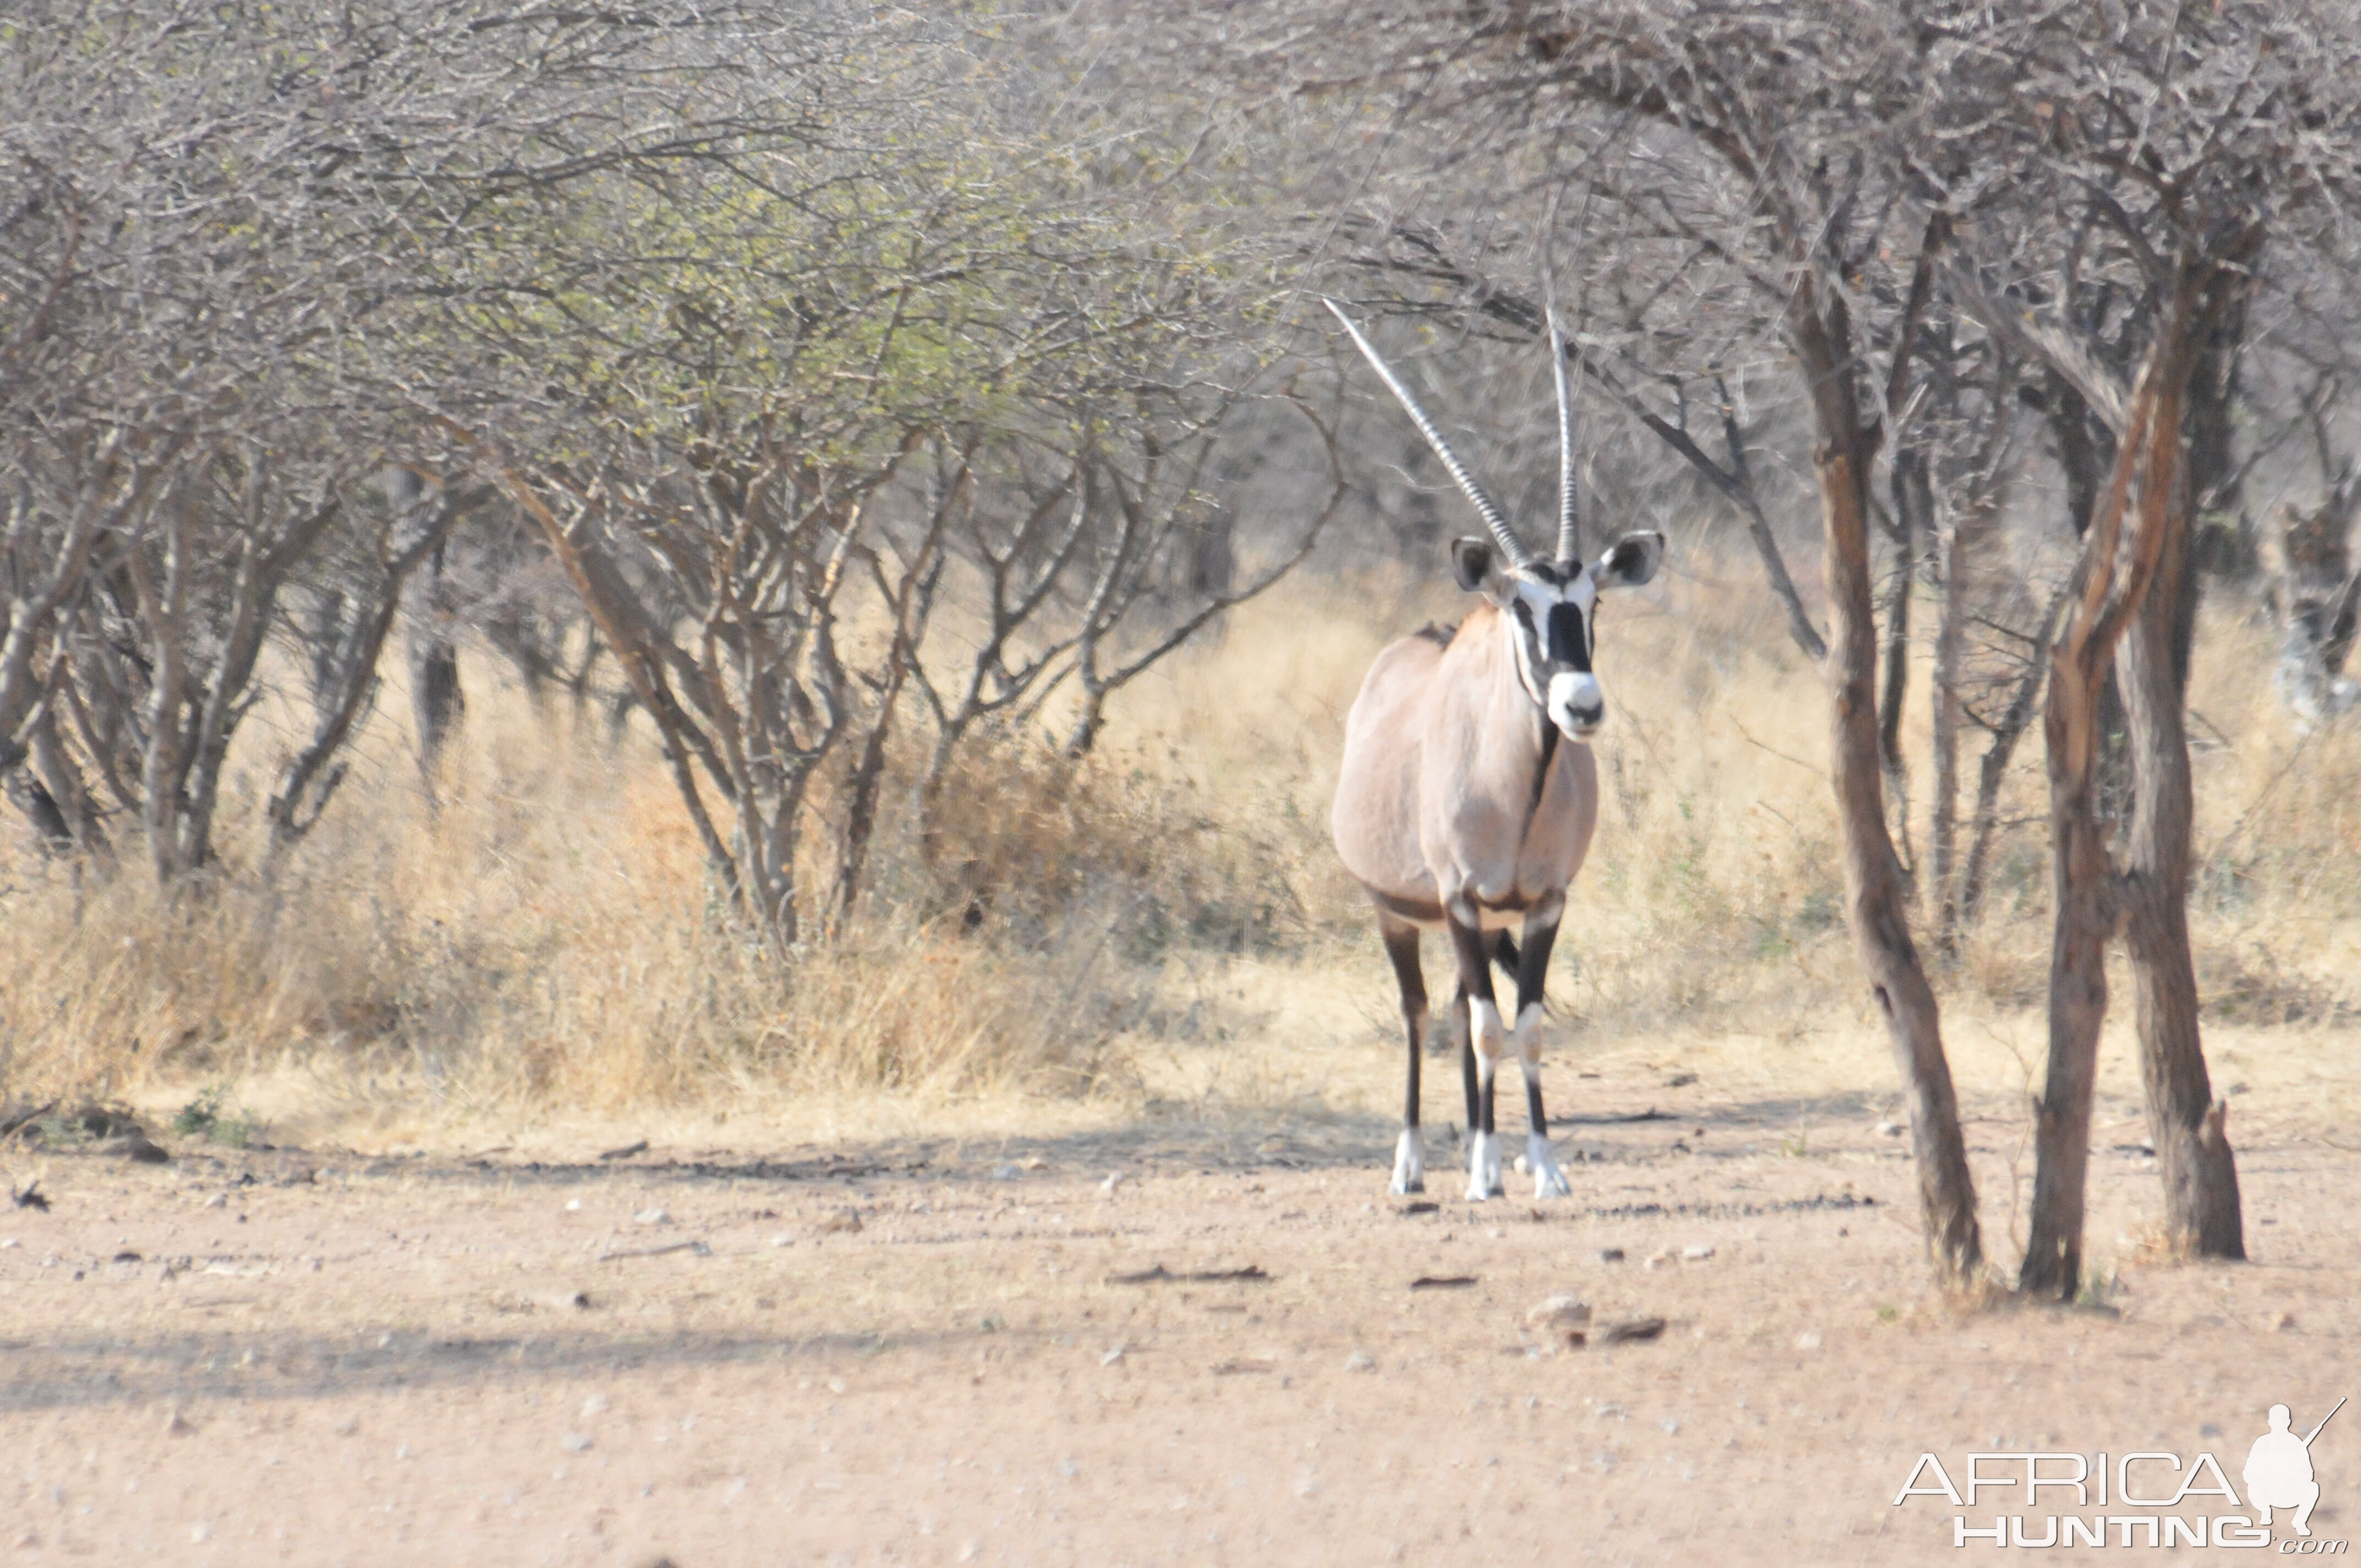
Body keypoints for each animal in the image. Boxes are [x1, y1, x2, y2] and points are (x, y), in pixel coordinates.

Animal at [1322, 302, 1671, 1199]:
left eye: (1590, 604)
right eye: (1521, 607)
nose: (1581, 705)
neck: (1516, 786)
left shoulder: (1543, 902)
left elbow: (1529, 1027)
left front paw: (1542, 1166)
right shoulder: (1458, 899)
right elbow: (1485, 1027)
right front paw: (1481, 1171)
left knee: (1453, 1010)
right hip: (1400, 913)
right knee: (1420, 1015)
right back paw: (1414, 1163)